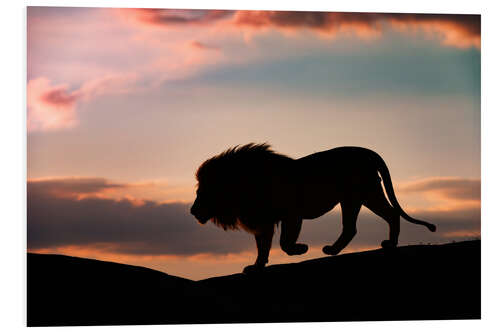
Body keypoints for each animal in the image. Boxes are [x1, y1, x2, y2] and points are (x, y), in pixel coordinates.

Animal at [189, 143, 436, 272]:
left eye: (202, 193)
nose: (192, 211)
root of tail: (367, 151)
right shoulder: (263, 220)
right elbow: (263, 246)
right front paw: (257, 266)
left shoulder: (292, 214)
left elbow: (284, 243)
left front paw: (301, 249)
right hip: (362, 196)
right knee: (376, 219)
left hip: (360, 194)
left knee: (374, 220)